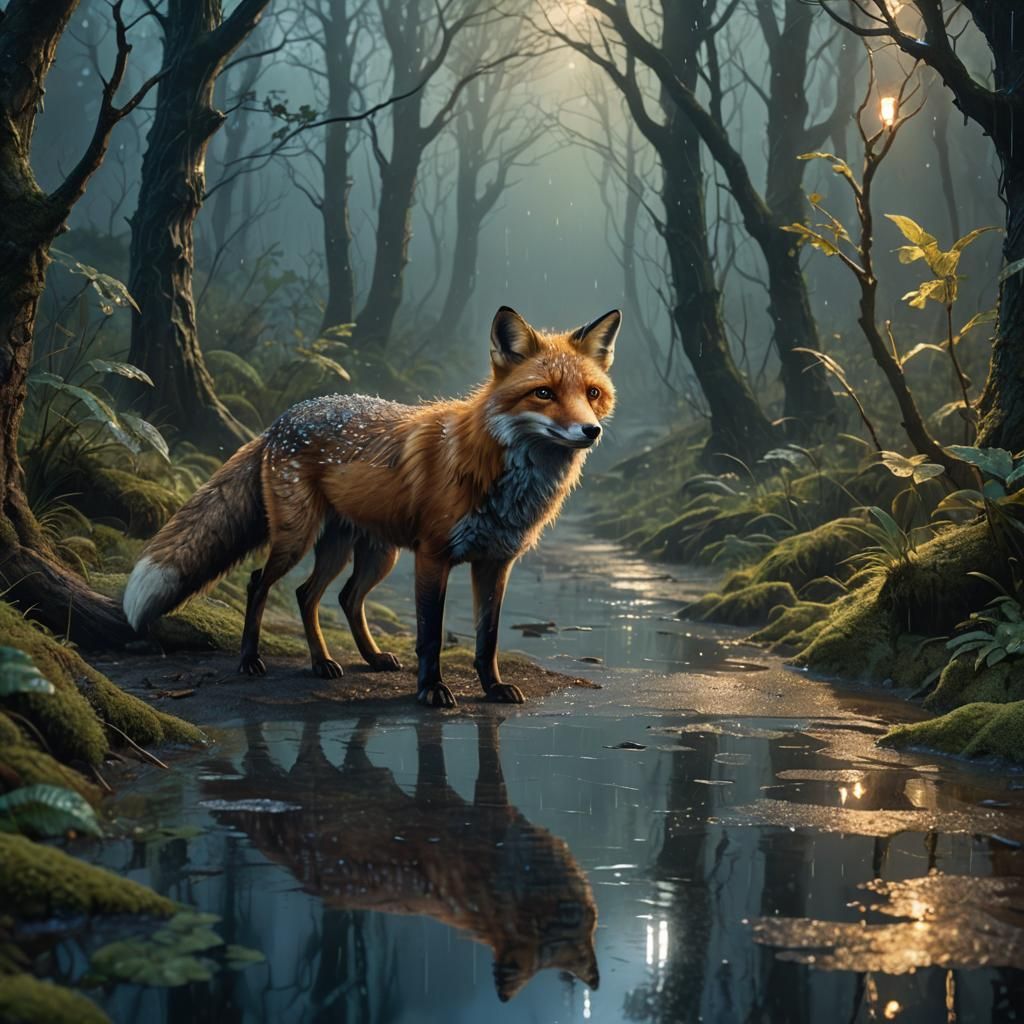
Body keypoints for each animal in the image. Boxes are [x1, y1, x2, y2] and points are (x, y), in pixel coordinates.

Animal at [123, 305, 619, 708]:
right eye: (544, 393)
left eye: (592, 393)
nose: (590, 431)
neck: (502, 477)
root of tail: (280, 420)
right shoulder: (433, 556)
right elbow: (430, 635)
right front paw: (431, 690)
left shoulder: (496, 561)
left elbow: (488, 637)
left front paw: (493, 687)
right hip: (298, 539)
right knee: (260, 583)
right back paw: (251, 659)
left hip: (370, 553)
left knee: (324, 595)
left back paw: (344, 660)